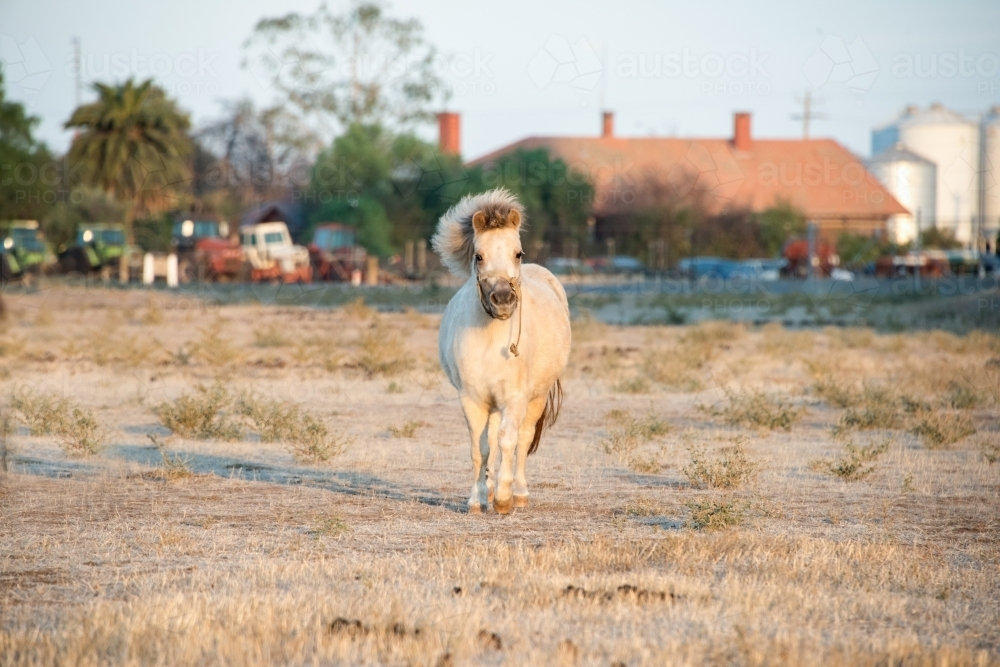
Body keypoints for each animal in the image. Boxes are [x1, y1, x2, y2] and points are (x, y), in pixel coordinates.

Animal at [432, 188, 571, 514]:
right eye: (478, 256)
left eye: (517, 253)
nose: (503, 300)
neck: (489, 336)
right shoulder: (472, 399)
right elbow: (480, 448)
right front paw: (478, 499)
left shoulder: (515, 398)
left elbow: (510, 441)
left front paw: (504, 500)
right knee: (492, 441)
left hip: (536, 399)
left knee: (522, 438)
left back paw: (519, 493)